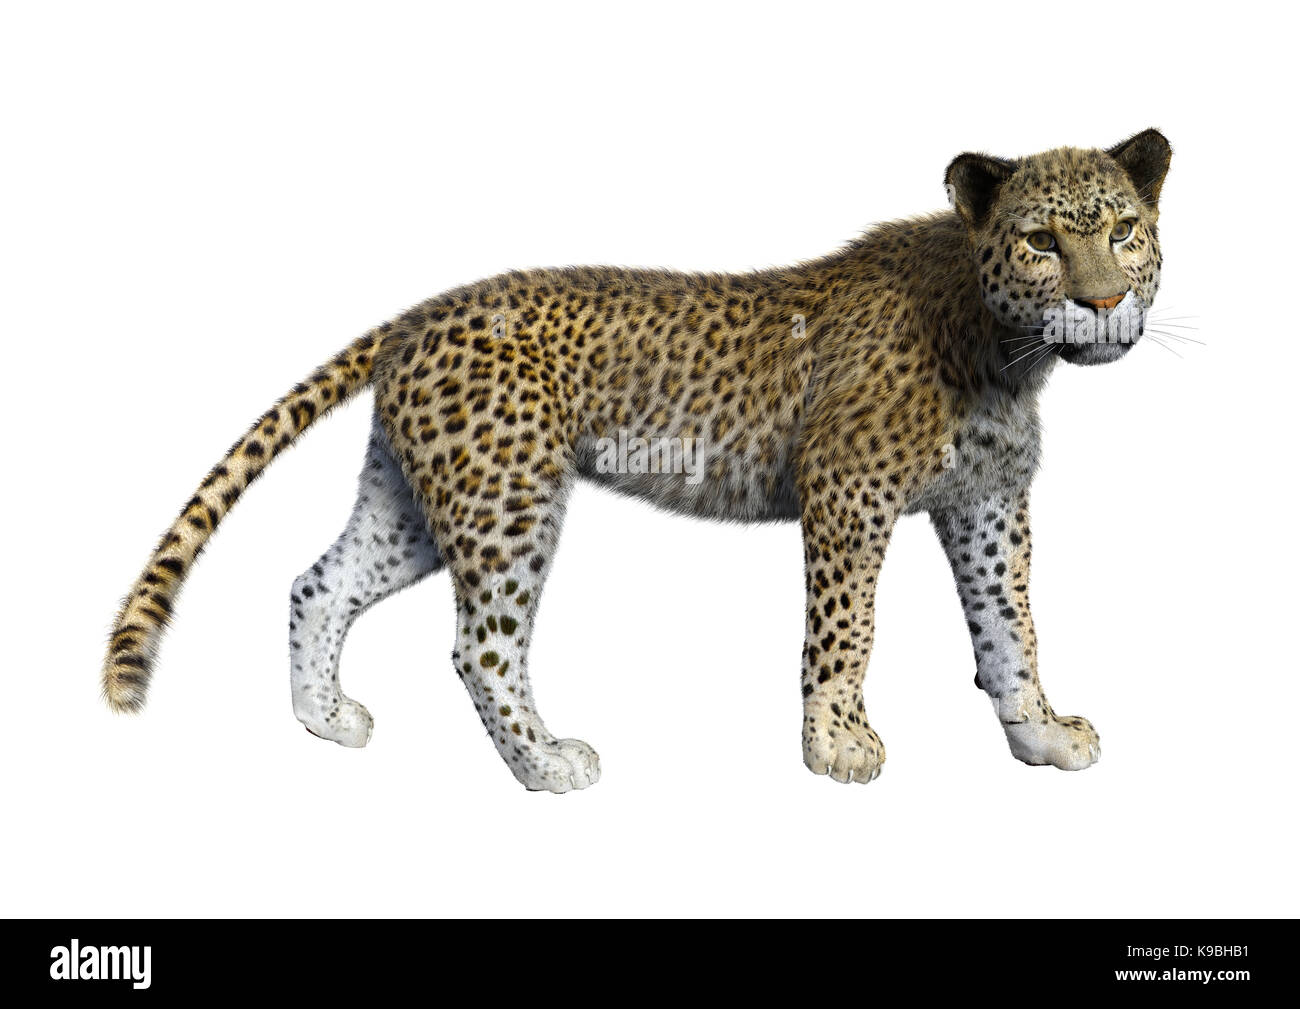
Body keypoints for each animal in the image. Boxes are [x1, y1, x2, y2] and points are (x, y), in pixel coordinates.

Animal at [104, 129, 1172, 792]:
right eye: (1039, 240)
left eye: (1126, 230)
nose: (1106, 302)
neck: (1008, 351)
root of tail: (418, 314)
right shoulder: (847, 491)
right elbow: (845, 631)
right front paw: (837, 743)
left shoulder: (987, 502)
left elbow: (1011, 625)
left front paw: (1039, 732)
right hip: (509, 501)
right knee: (481, 645)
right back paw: (547, 765)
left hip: (417, 500)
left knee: (318, 582)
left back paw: (327, 719)